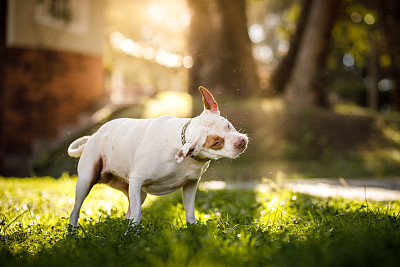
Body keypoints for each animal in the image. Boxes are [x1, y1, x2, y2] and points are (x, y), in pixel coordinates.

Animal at [68, 87, 248, 229]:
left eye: (227, 125)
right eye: (216, 142)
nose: (241, 142)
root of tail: (94, 135)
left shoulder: (190, 184)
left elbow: (190, 213)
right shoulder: (137, 179)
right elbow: (137, 215)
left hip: (136, 192)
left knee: (129, 212)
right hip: (86, 181)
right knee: (75, 211)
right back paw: (72, 234)